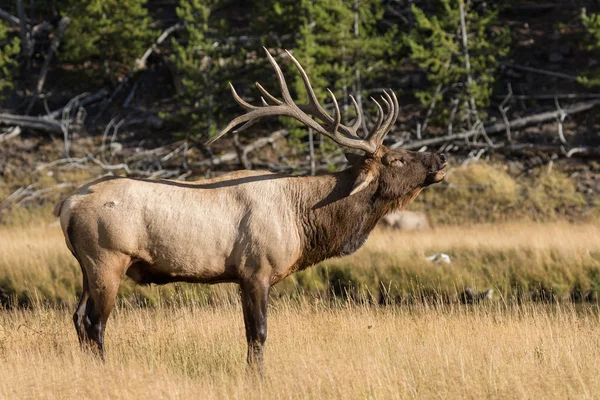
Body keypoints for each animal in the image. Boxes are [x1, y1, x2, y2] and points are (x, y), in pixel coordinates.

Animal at [55, 48, 446, 374]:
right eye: (397, 159)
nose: (440, 158)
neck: (305, 220)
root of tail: (65, 205)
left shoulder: (244, 276)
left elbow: (249, 333)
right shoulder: (257, 270)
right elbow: (258, 333)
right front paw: (256, 377)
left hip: (87, 267)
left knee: (77, 317)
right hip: (107, 260)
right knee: (94, 323)